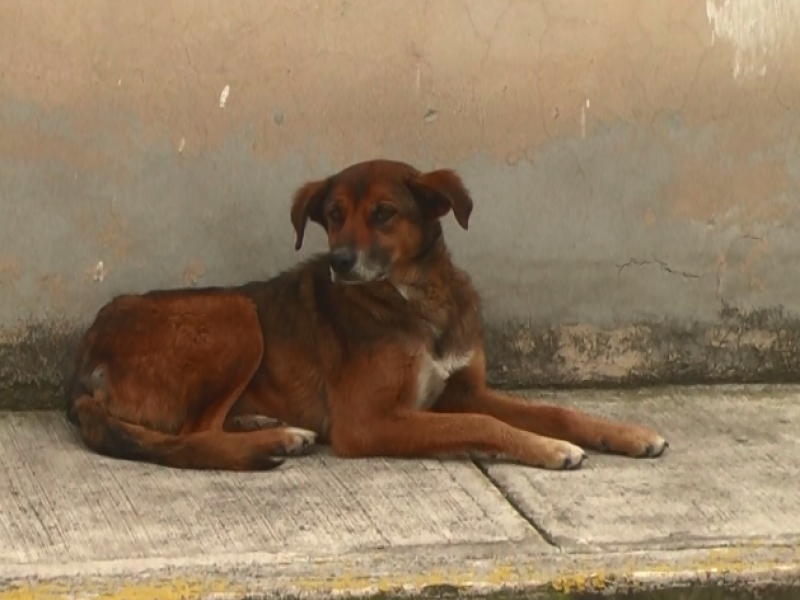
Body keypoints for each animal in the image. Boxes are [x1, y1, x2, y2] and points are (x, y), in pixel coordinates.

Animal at [67, 159, 668, 474]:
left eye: (384, 213)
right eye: (333, 215)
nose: (339, 261)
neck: (416, 299)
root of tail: (87, 354)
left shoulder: (463, 388)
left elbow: (553, 409)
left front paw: (628, 433)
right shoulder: (369, 421)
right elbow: (484, 424)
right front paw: (549, 449)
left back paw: (264, 425)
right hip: (236, 313)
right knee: (193, 435)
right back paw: (272, 440)